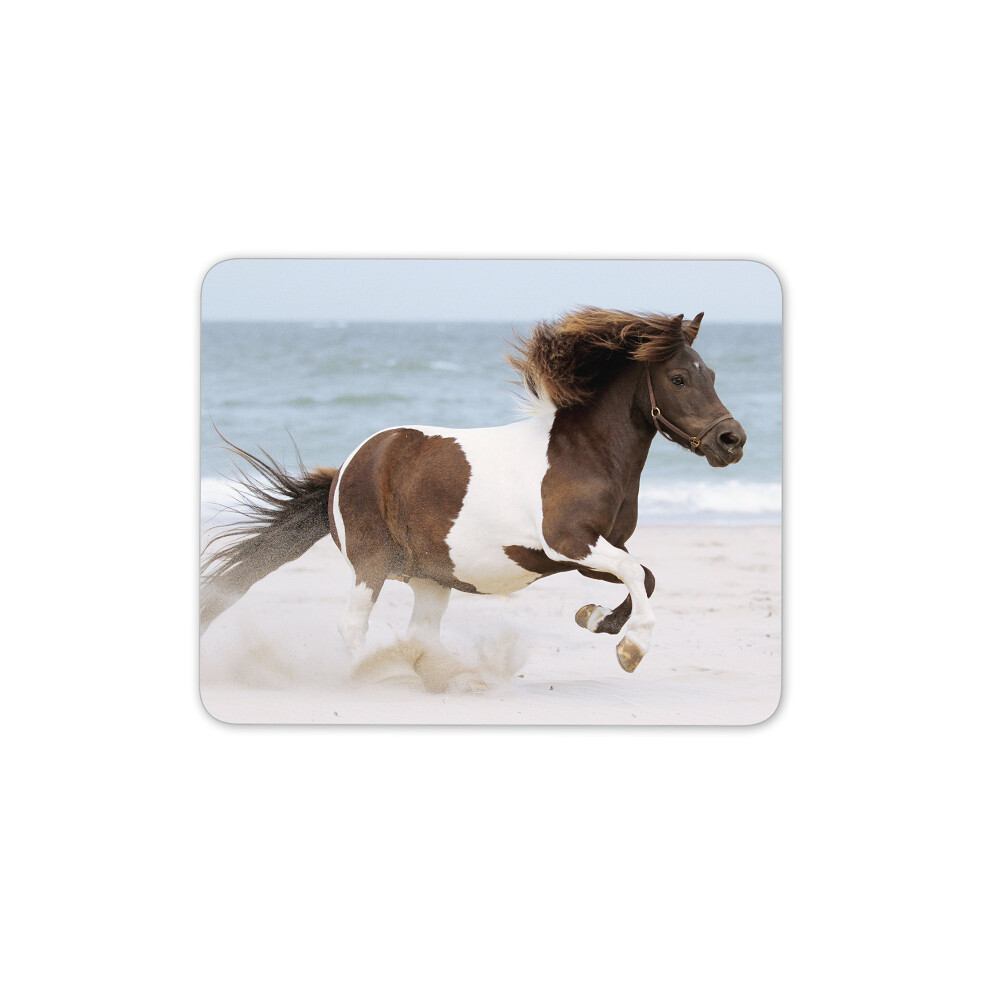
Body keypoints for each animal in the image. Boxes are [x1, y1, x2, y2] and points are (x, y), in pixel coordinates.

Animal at [200, 307, 746, 686]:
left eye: (713, 375)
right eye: (678, 377)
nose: (732, 441)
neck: (586, 453)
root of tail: (347, 468)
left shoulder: (589, 553)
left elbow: (645, 575)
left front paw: (595, 619)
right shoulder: (570, 543)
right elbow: (638, 575)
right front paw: (631, 649)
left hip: (432, 576)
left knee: (421, 633)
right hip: (371, 564)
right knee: (352, 625)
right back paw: (372, 678)